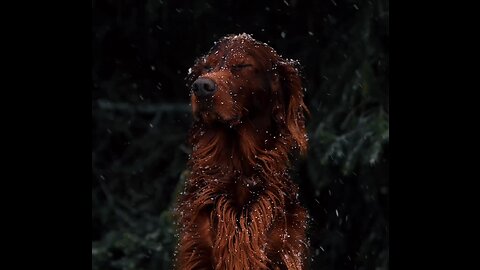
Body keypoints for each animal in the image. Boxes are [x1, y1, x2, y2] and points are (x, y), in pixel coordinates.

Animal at [175, 33, 308, 270]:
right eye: (207, 67)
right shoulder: (197, 249)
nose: (201, 86)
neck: (239, 169)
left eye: (242, 65)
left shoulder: (282, 251)